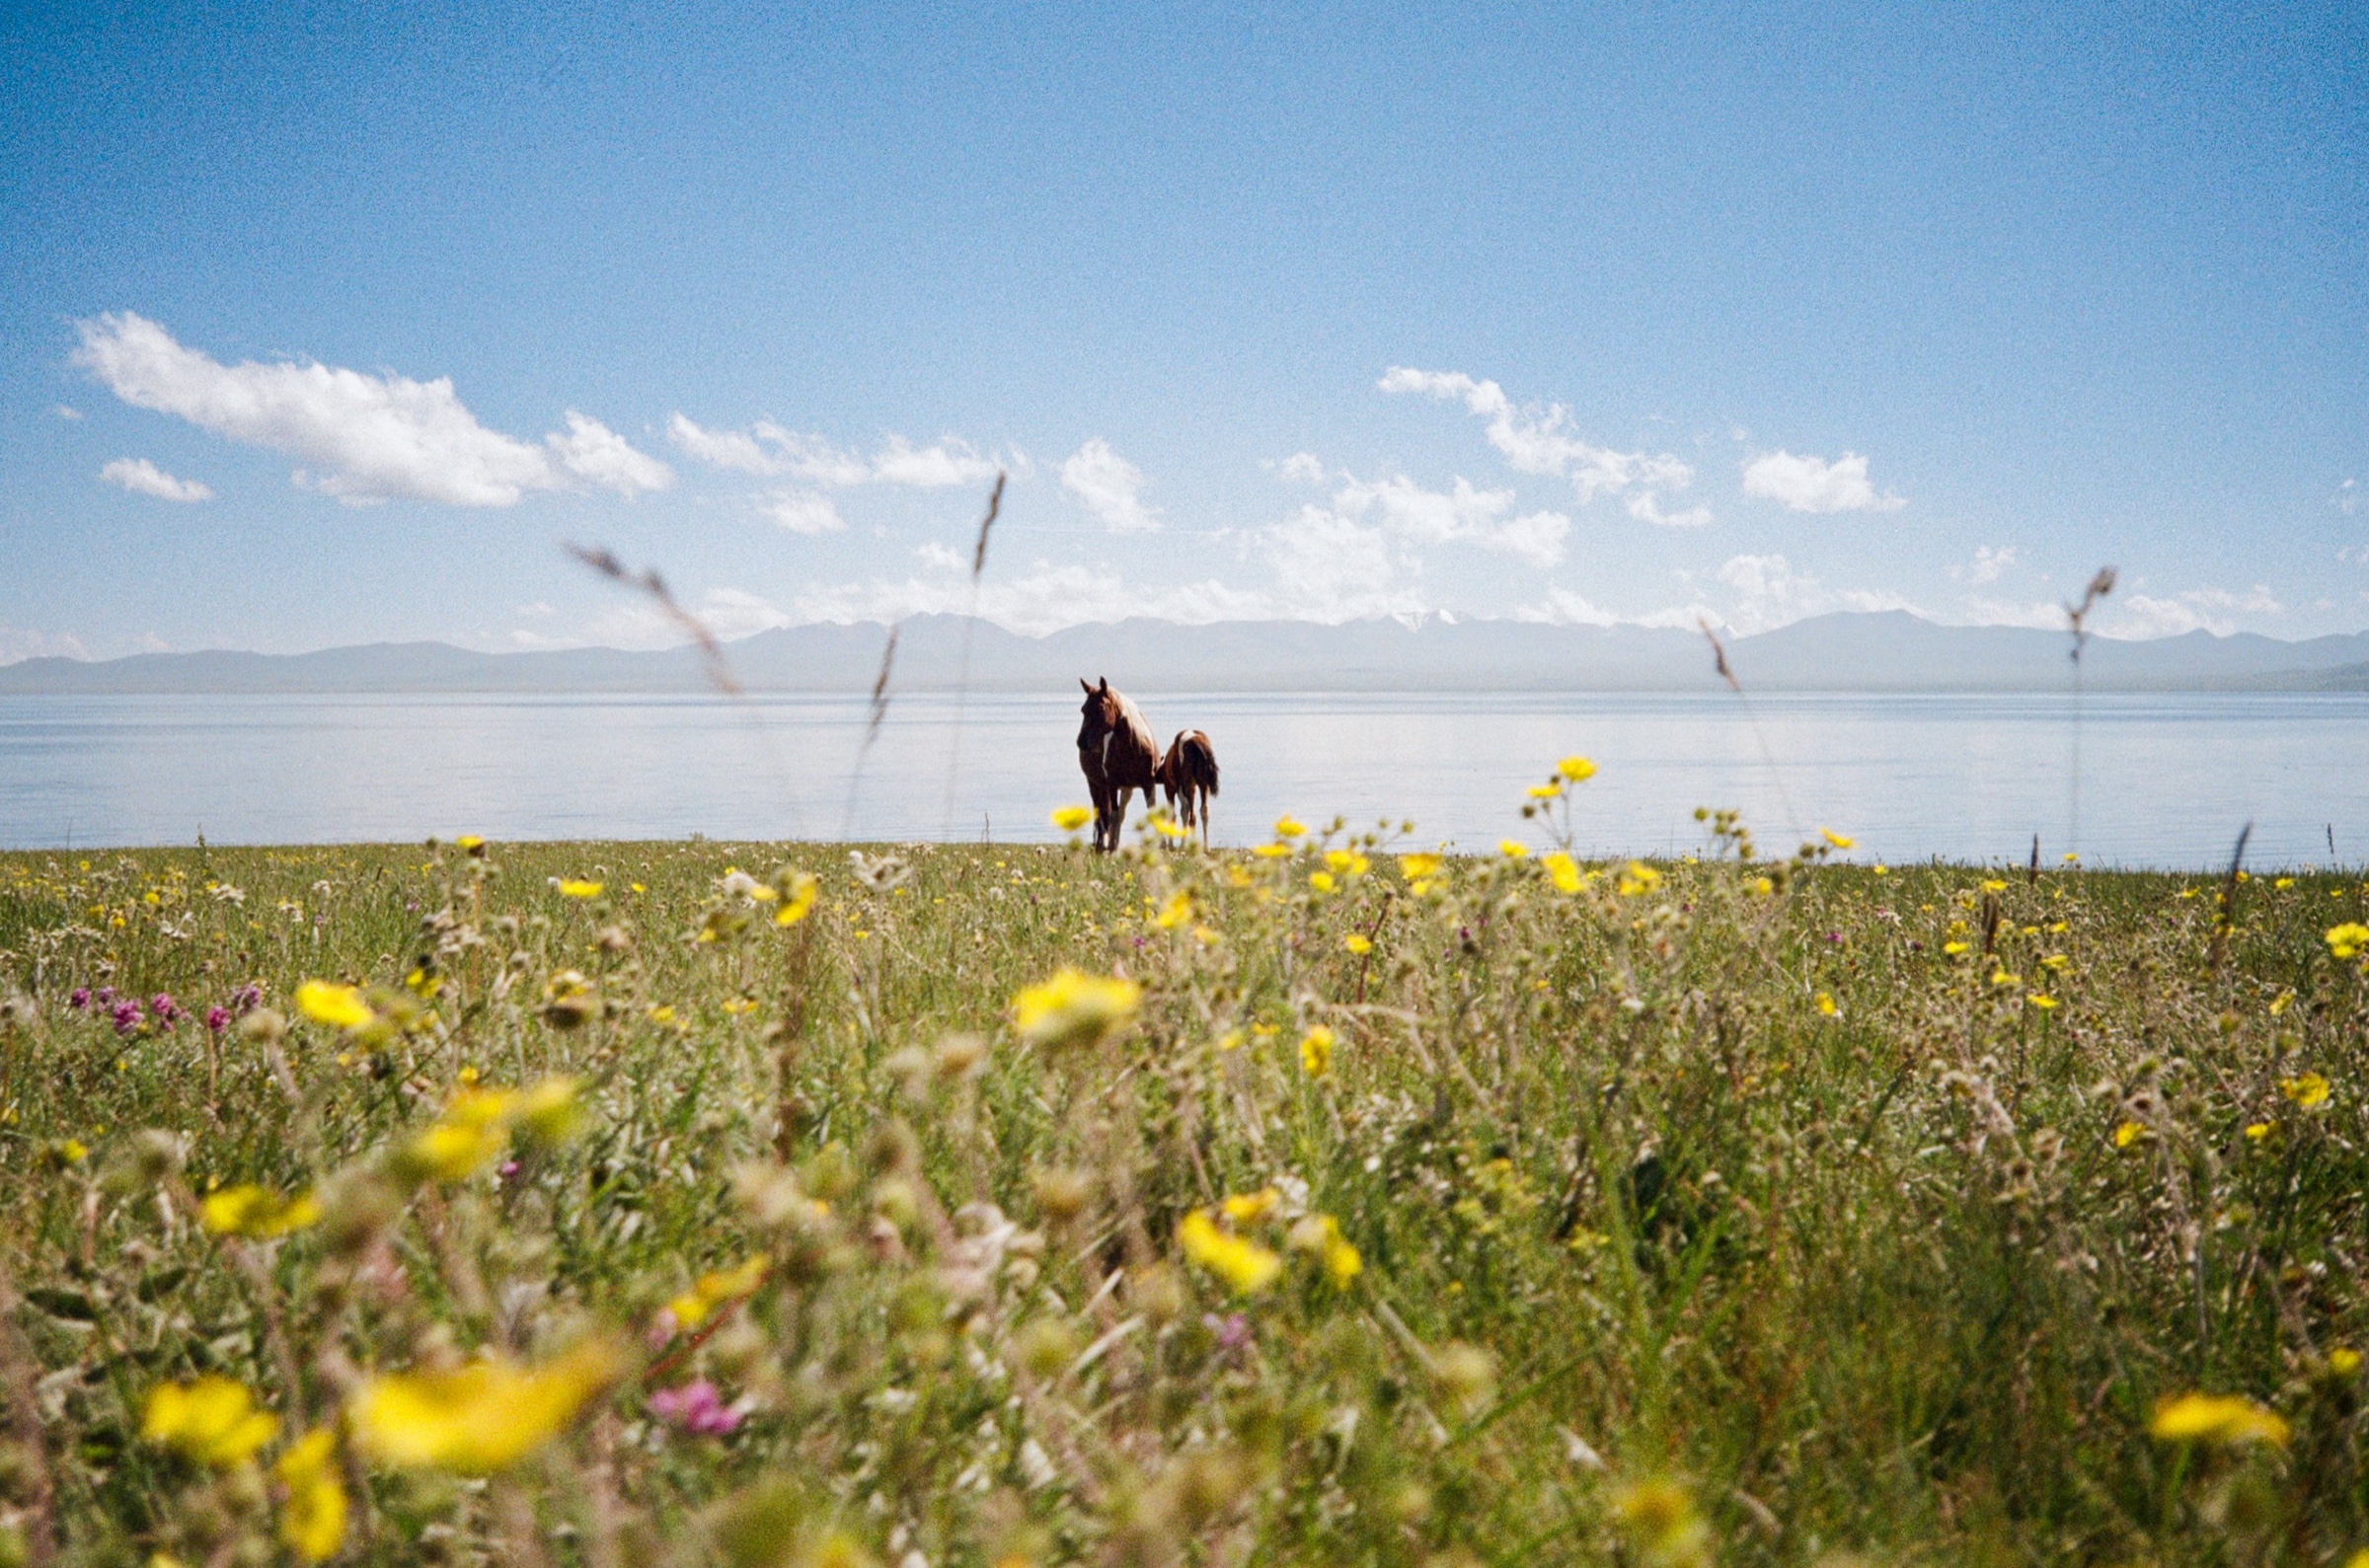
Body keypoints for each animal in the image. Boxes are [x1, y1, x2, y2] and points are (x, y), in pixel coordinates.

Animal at [1077, 677, 1159, 852]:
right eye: (1083, 710)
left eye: (1100, 708)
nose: (1081, 742)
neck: (1133, 746)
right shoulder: (1112, 784)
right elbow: (1112, 815)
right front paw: (1112, 847)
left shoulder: (1148, 783)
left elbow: (1151, 813)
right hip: (1095, 784)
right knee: (1102, 814)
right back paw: (1103, 845)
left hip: (1126, 788)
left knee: (1118, 814)